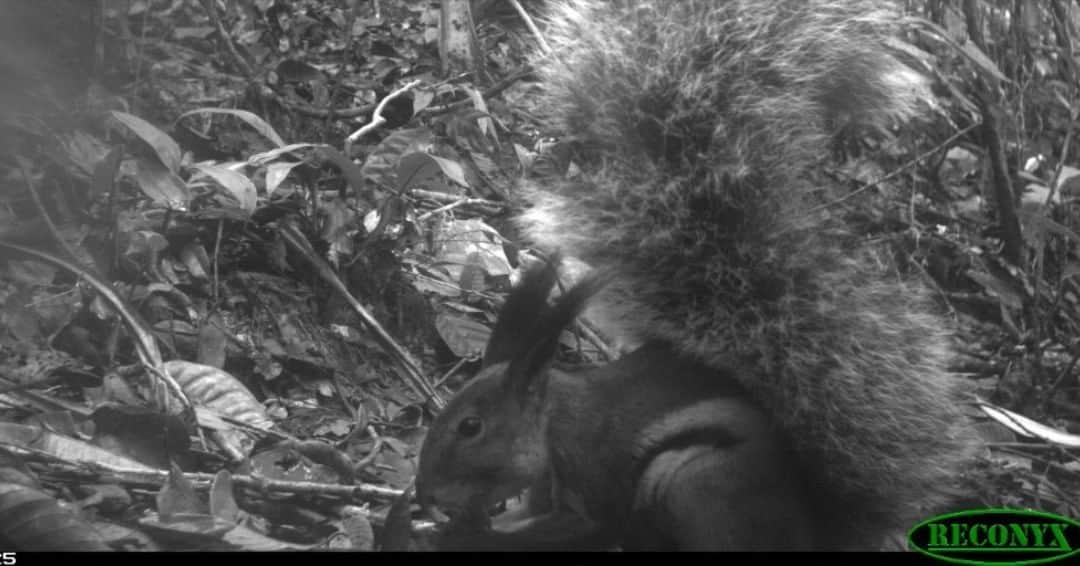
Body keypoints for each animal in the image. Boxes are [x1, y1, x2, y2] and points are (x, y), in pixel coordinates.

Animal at [412, 0, 980, 550]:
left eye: (471, 427)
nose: (423, 493)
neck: (554, 423)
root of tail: (817, 530)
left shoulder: (592, 477)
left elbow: (586, 528)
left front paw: (460, 534)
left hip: (694, 482)